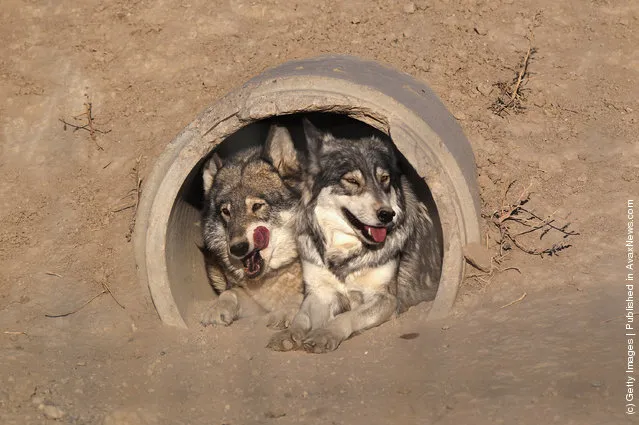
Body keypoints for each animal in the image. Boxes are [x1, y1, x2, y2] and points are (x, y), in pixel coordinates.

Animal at [200, 124, 304, 330]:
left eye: (257, 206)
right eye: (226, 211)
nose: (238, 248)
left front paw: (286, 311)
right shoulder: (252, 304)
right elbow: (229, 293)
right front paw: (217, 308)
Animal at [268, 118, 442, 352]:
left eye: (384, 179)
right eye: (352, 181)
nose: (387, 214)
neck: (345, 253)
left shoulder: (385, 299)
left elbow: (348, 316)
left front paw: (325, 333)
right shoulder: (320, 293)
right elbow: (301, 317)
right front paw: (290, 333)